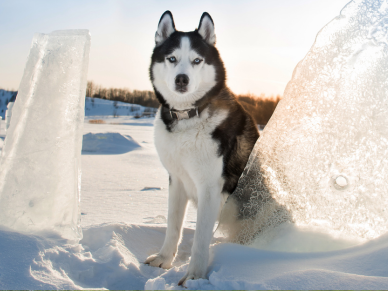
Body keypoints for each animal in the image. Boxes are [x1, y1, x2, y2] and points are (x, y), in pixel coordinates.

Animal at [144, 10, 260, 286]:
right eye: (172, 58)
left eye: (197, 60)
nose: (181, 79)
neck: (188, 116)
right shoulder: (176, 179)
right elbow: (173, 226)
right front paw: (164, 260)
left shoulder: (210, 188)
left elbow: (200, 240)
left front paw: (194, 277)